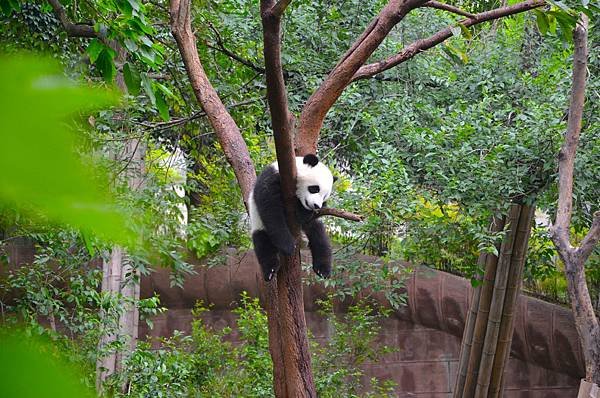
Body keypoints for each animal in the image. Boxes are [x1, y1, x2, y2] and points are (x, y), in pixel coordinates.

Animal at [247, 154, 336, 282]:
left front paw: (303, 212)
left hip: (314, 226)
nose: (316, 206)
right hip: (258, 222)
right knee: (263, 243)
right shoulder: (272, 178)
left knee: (319, 237)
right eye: (314, 188)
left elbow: (309, 215)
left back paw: (322, 270)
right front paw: (288, 246)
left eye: (324, 196)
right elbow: (271, 209)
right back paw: (270, 270)